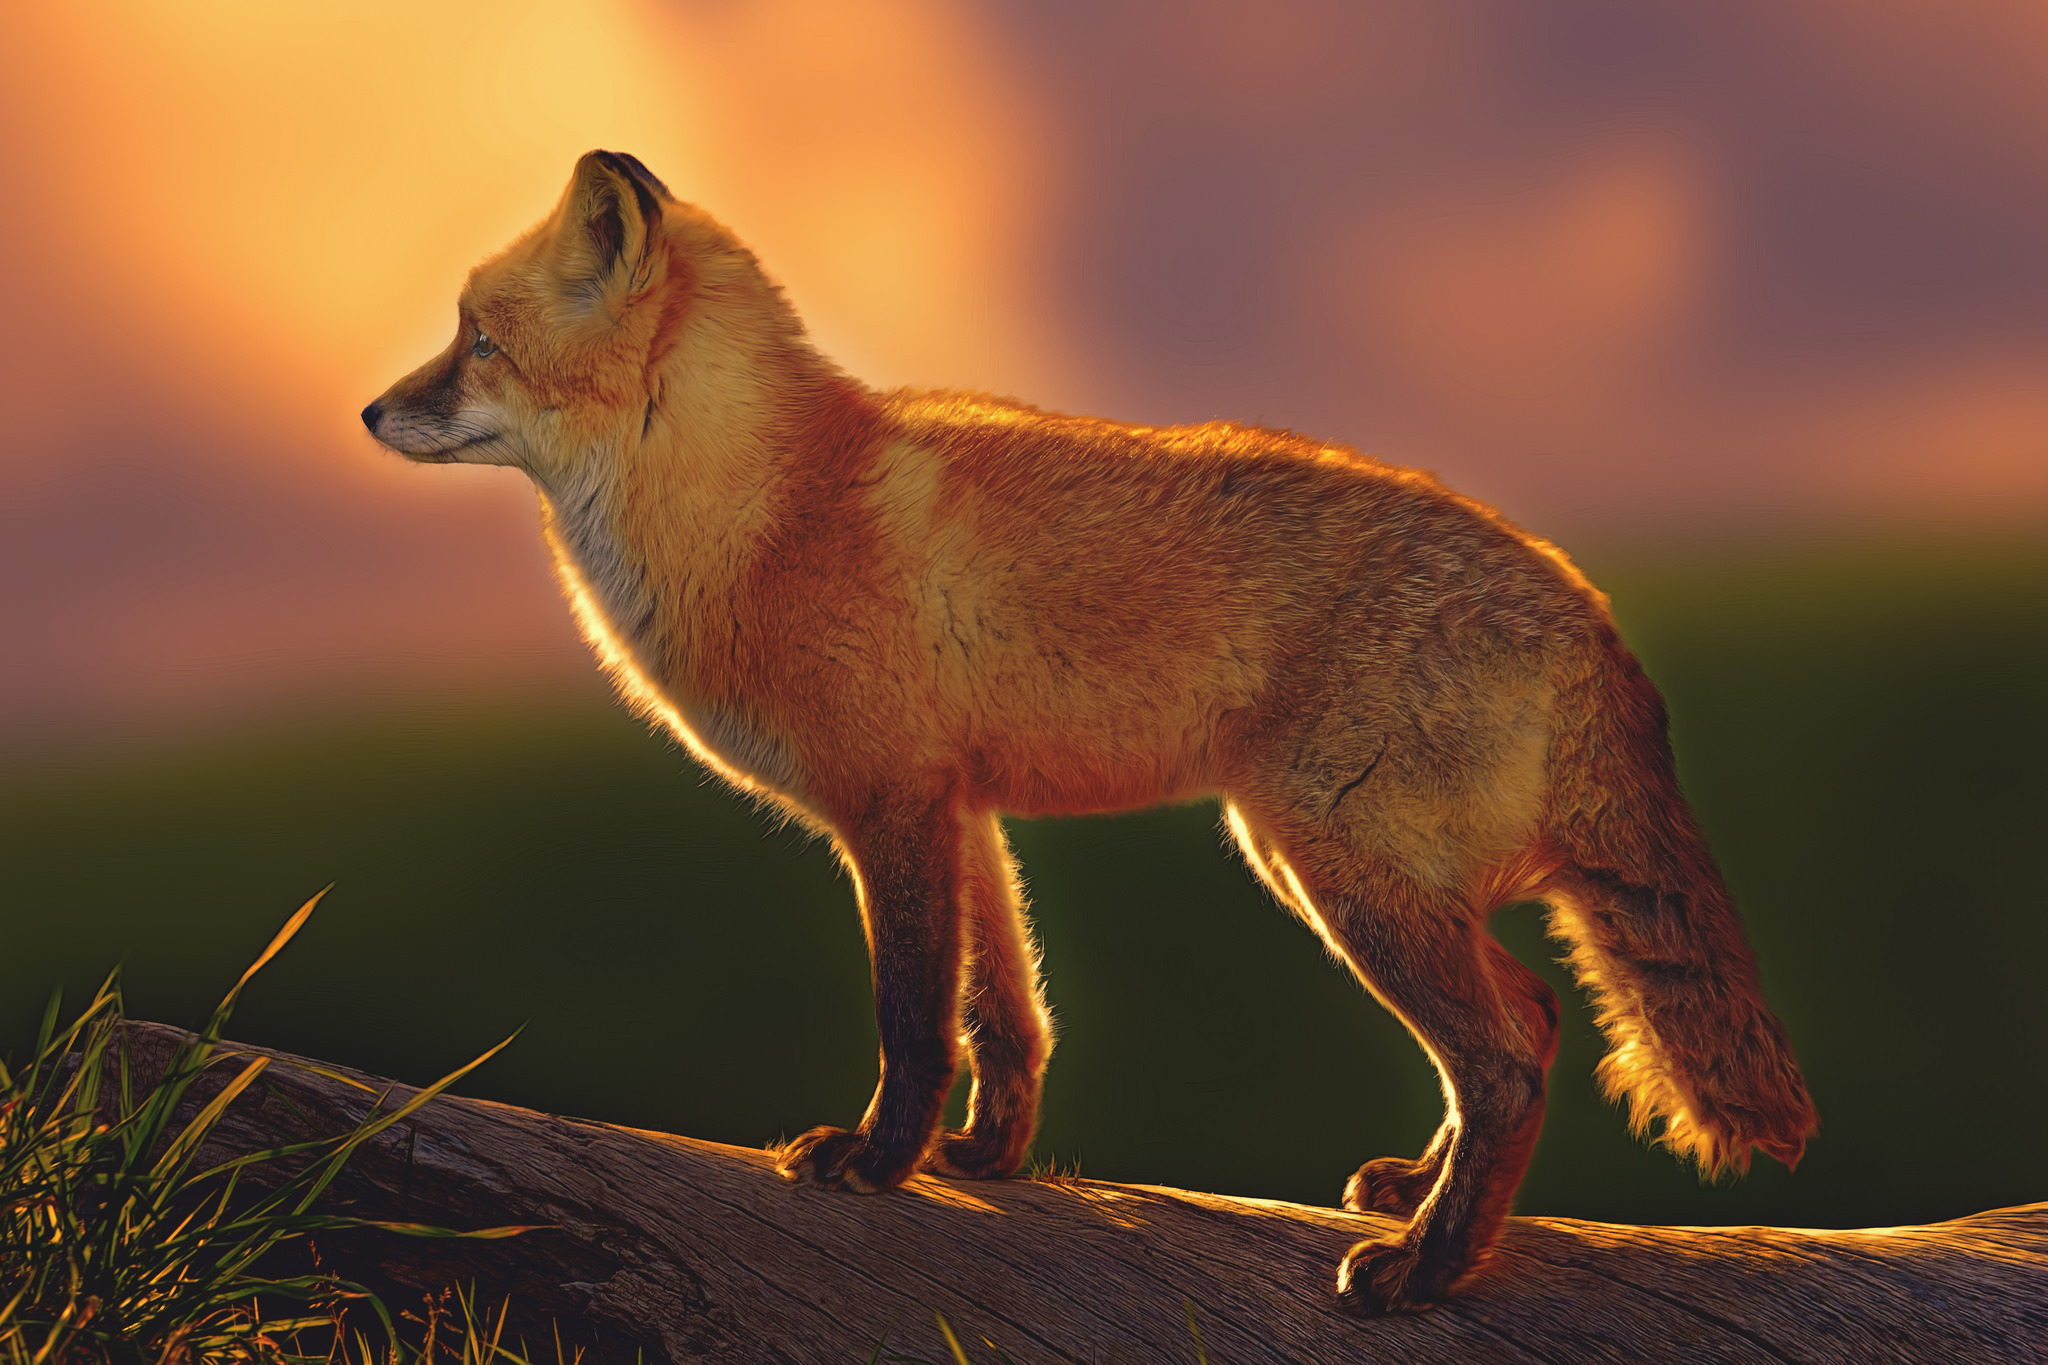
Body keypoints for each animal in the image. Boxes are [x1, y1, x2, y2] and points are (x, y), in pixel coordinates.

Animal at [363, 150, 1817, 1313]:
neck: (763, 511)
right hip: (1343, 872)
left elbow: (911, 1017)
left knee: (1509, 1055)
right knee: (1535, 1024)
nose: (370, 412)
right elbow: (1006, 1017)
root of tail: (1584, 600)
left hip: (1338, 872)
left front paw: (875, 1166)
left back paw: (1426, 1271)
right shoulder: (965, 811)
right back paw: (1421, 1198)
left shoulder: (890, 808)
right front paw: (985, 1162)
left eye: (476, 341)